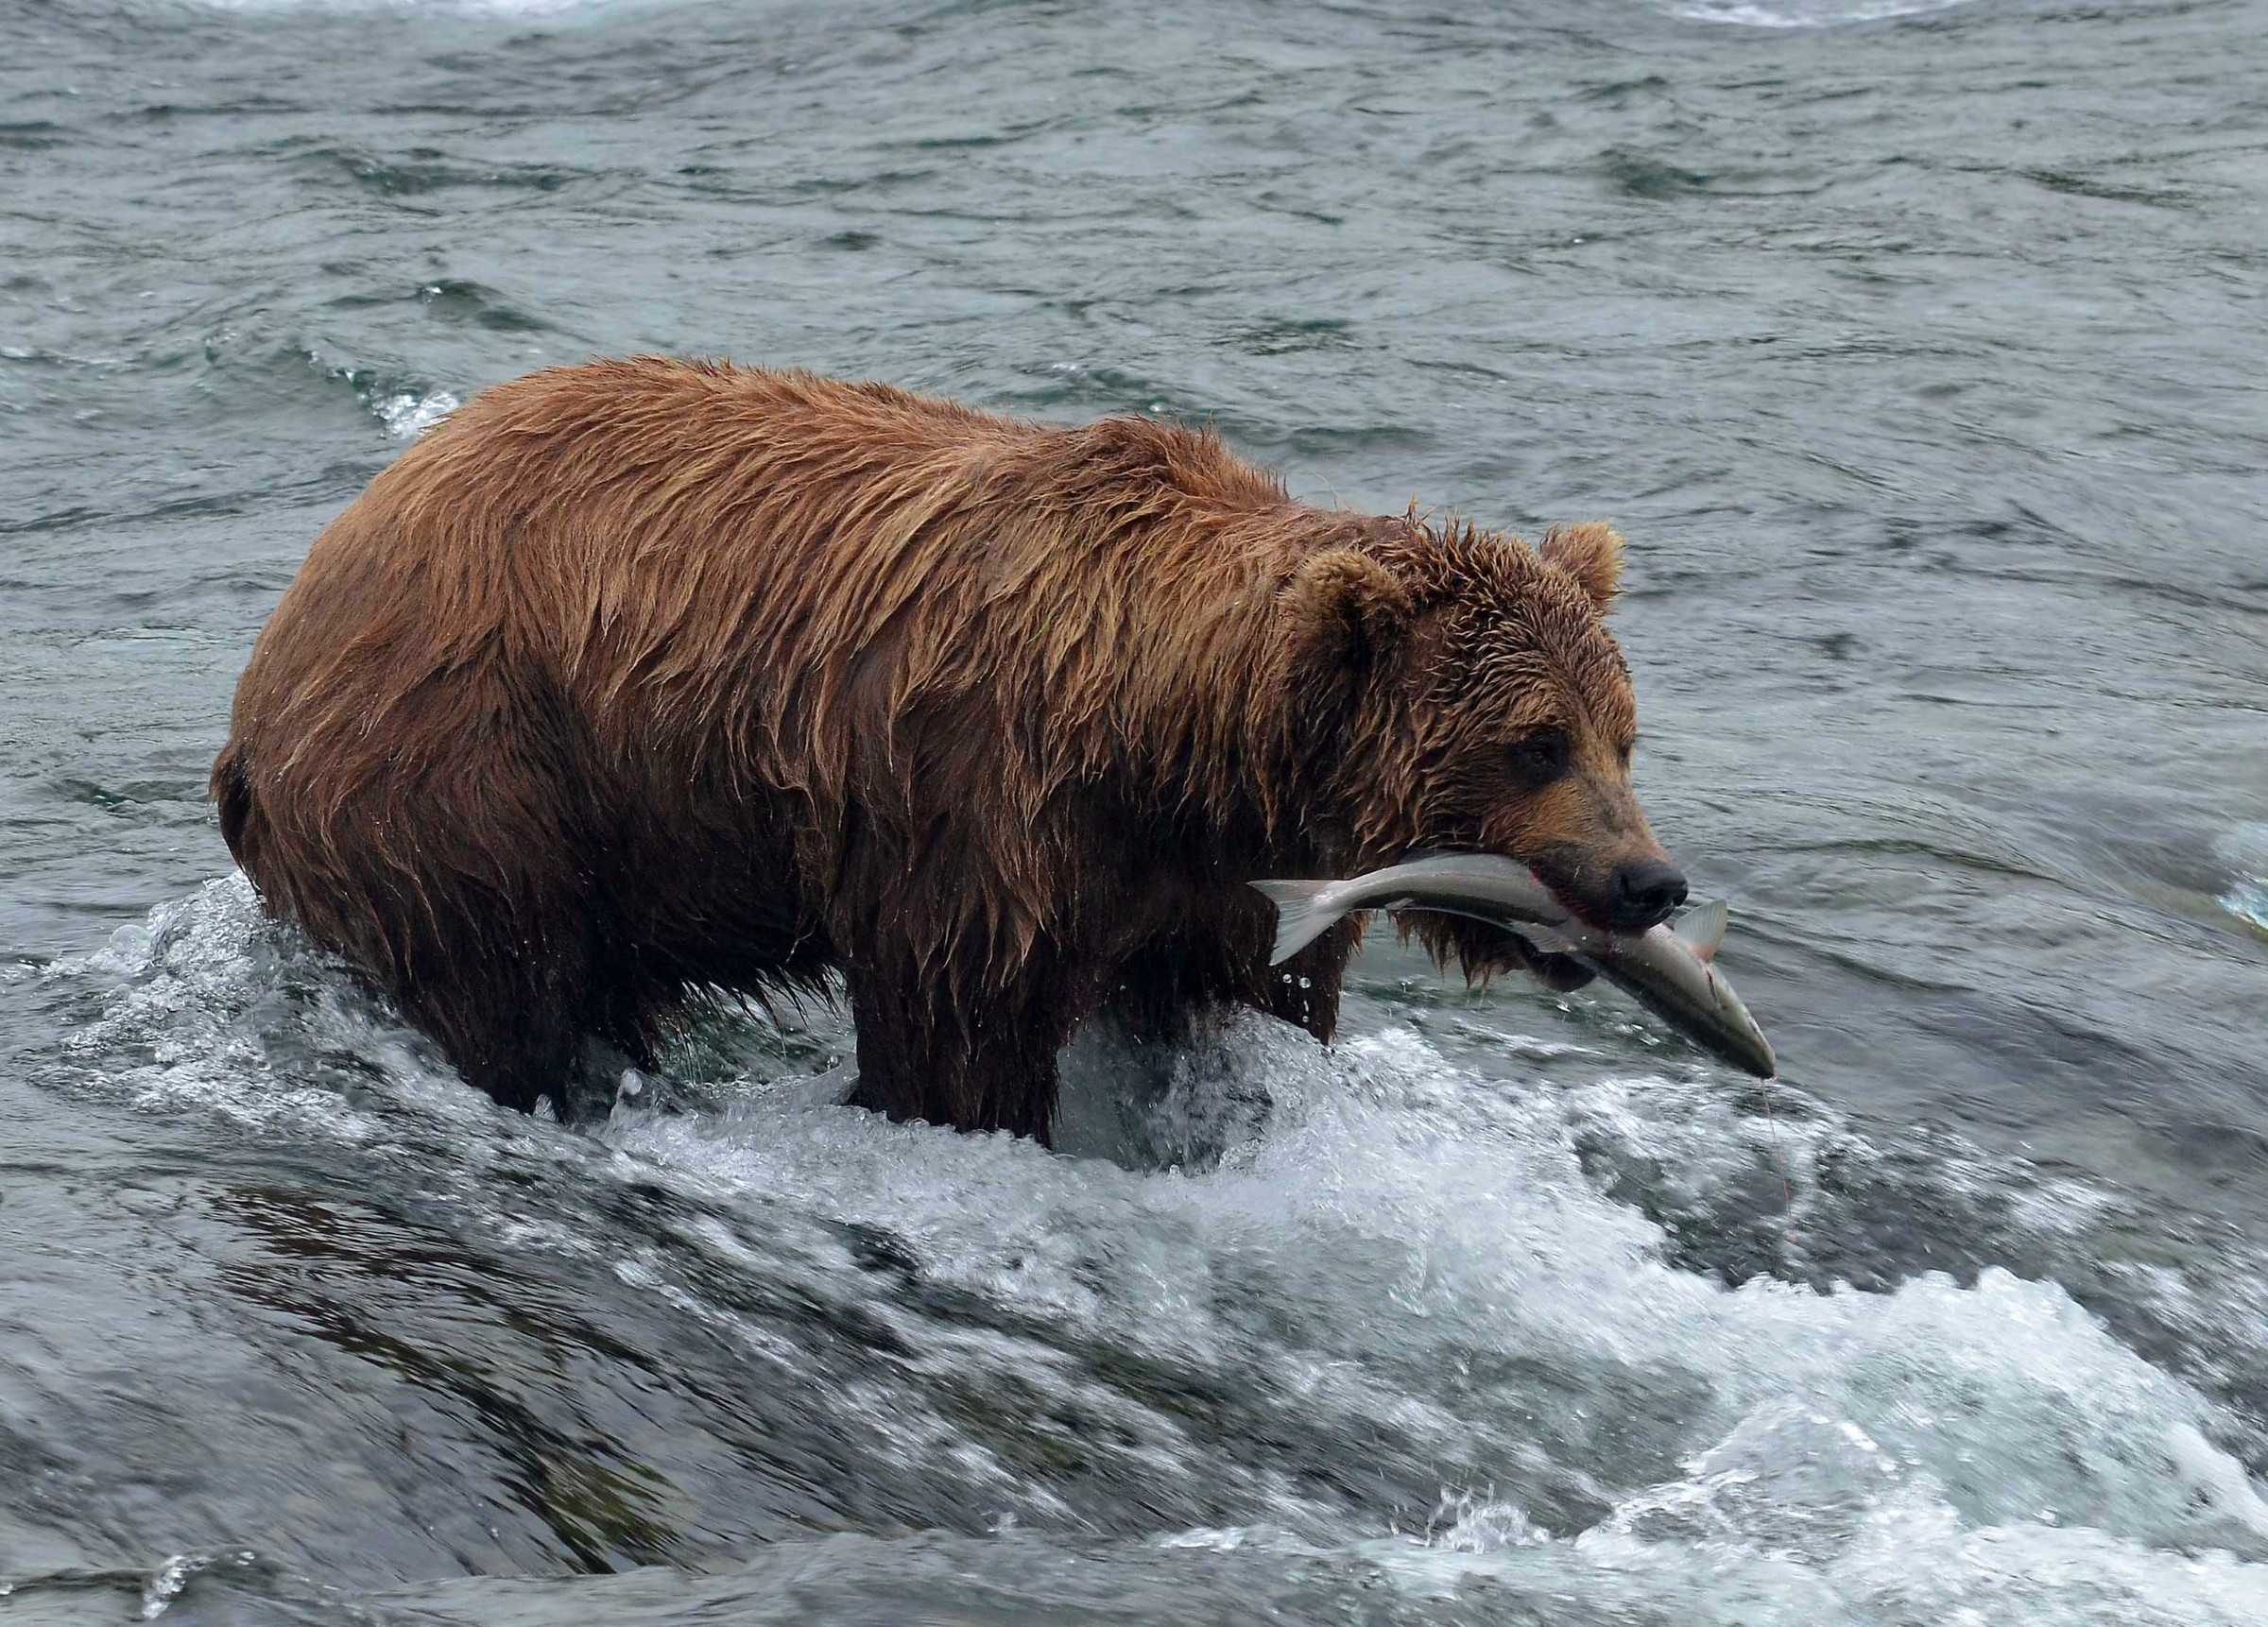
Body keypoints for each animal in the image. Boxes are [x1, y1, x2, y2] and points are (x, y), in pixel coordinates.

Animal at [213, 362, 1687, 1141]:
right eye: (1534, 742)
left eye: (1622, 734)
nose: (1648, 882)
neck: (1171, 744)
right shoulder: (976, 816)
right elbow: (957, 1036)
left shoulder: (1223, 883)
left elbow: (1253, 1007)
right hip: (469, 766)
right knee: (506, 975)